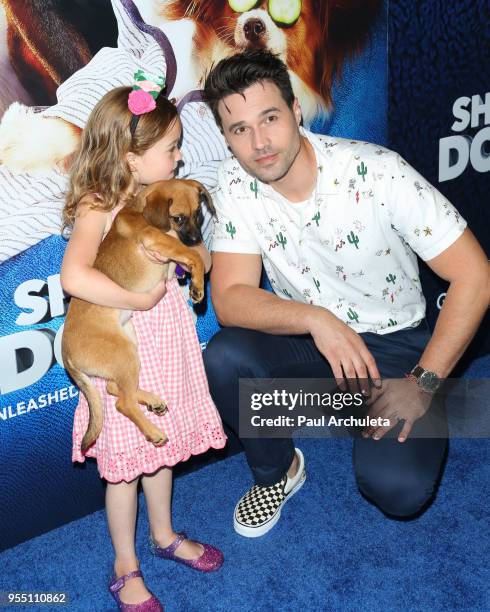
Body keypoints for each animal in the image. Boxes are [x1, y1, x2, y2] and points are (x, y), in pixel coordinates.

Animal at [61, 179, 214, 452]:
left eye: (199, 213)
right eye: (178, 218)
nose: (197, 240)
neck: (139, 209)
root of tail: (65, 353)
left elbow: (188, 259)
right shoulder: (161, 242)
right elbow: (194, 257)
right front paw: (197, 287)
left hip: (129, 347)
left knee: (114, 388)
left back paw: (152, 400)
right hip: (124, 355)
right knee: (123, 402)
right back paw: (153, 432)